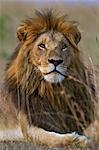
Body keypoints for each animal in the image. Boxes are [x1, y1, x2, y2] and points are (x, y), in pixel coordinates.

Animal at [0, 9, 97, 148]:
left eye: (64, 46)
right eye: (42, 46)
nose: (55, 61)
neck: (51, 91)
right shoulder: (28, 129)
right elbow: (52, 138)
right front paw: (78, 139)